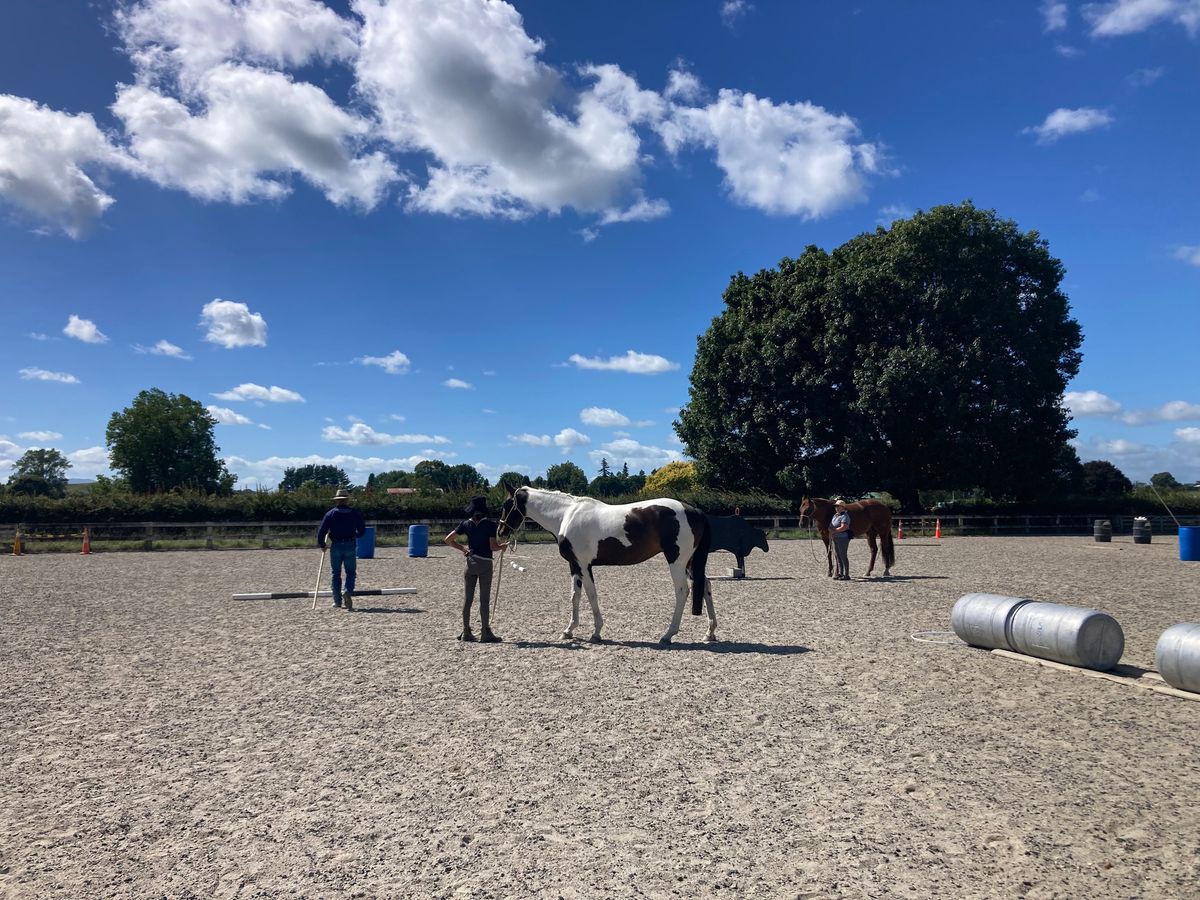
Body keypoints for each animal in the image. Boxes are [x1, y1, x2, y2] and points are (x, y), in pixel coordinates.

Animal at [494, 487, 710, 648]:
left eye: (506, 505)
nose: (500, 531)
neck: (566, 515)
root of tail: (694, 510)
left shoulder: (583, 565)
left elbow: (591, 595)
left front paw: (596, 632)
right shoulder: (574, 565)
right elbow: (575, 596)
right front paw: (569, 630)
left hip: (677, 561)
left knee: (682, 591)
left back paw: (668, 634)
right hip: (690, 563)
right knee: (706, 586)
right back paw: (710, 633)